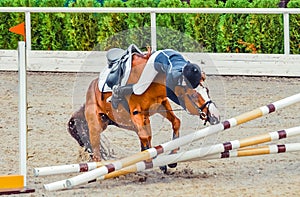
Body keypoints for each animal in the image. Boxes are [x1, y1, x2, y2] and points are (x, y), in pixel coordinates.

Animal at [67, 47, 219, 166]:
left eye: (207, 91)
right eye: (193, 96)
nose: (215, 116)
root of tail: (90, 91)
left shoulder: (161, 105)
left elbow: (176, 122)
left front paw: (172, 156)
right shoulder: (137, 112)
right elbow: (146, 137)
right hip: (96, 125)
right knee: (96, 154)